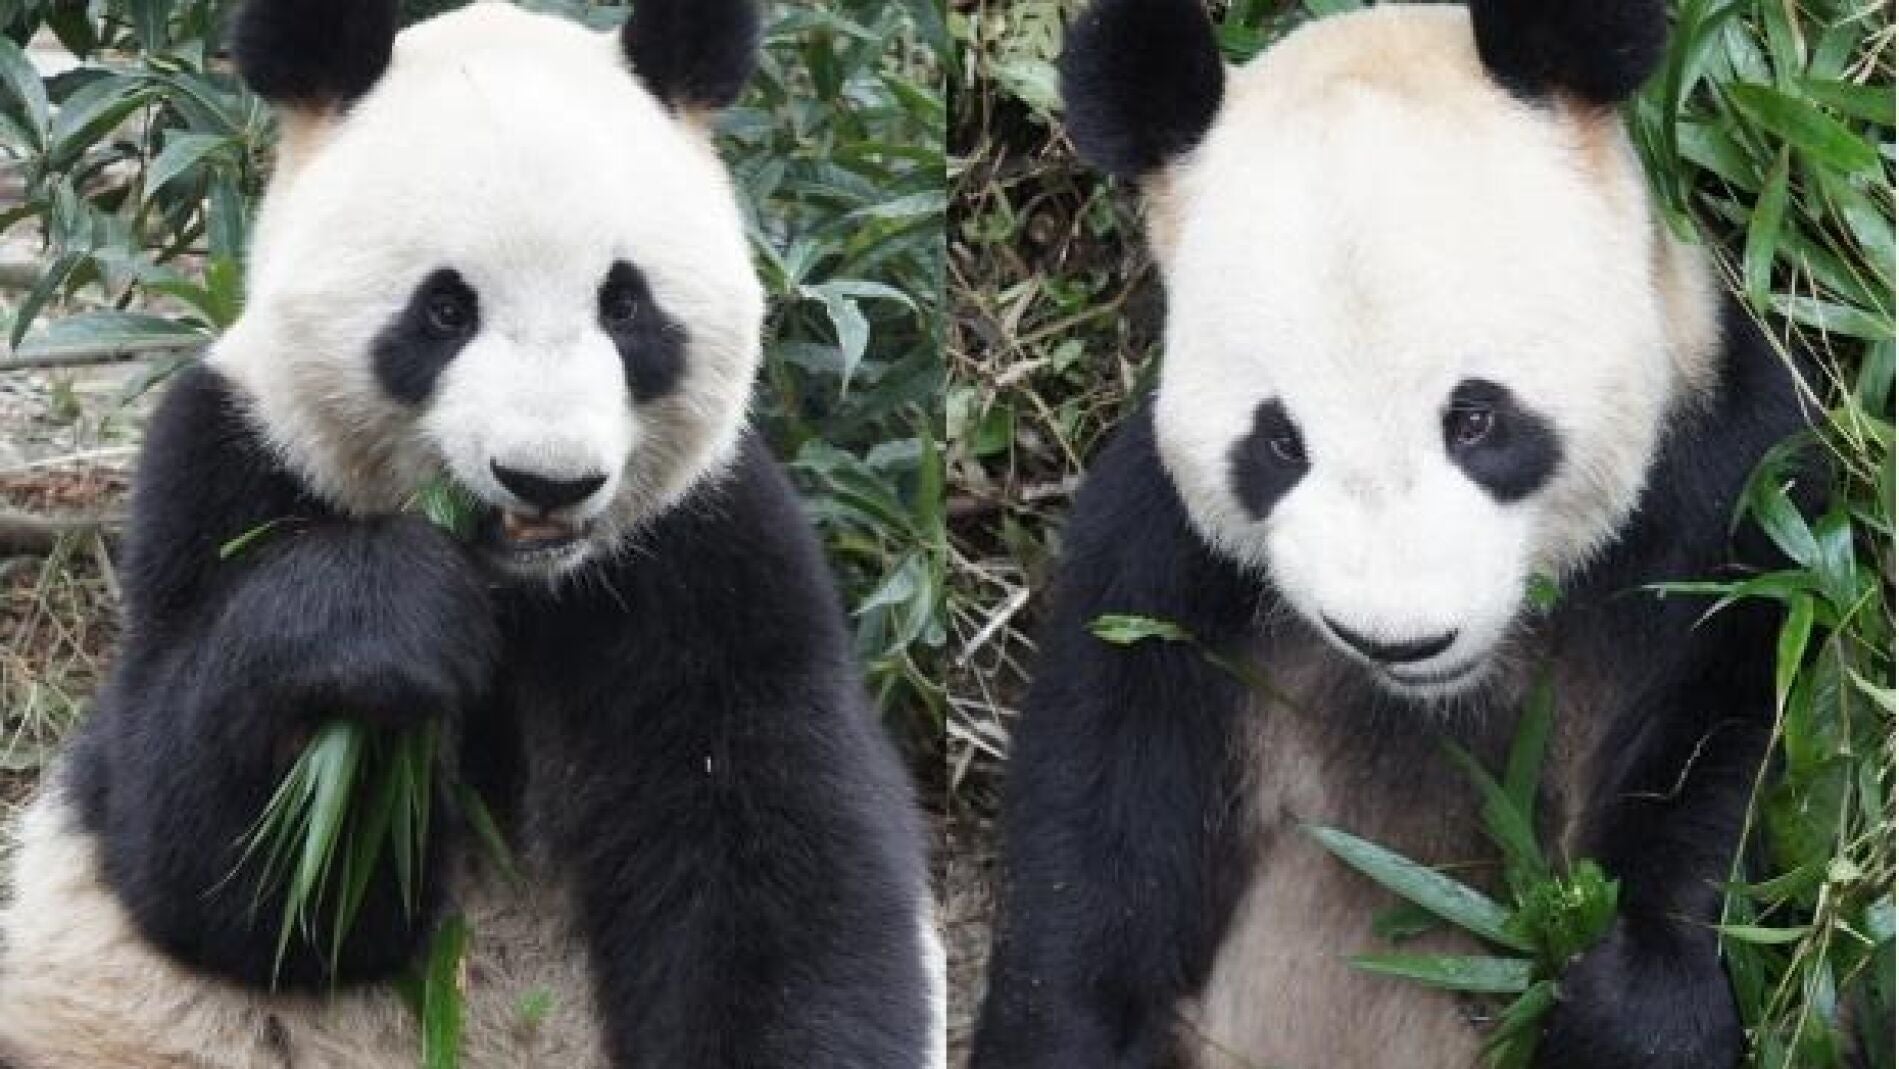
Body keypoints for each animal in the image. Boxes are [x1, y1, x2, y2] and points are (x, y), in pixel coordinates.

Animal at [0, 1, 942, 1067]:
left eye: (625, 304)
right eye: (445, 308)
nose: (549, 479)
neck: (521, 584)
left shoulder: (708, 547)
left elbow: (779, 858)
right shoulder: (223, 467)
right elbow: (212, 866)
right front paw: (387, 623)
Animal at [974, 1, 1806, 1067]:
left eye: (1477, 419)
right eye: (1278, 442)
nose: (1400, 639)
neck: (1435, 696)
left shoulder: (1718, 482)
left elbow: (1723, 733)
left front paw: (1633, 1004)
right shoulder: (1161, 565)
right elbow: (1093, 820)